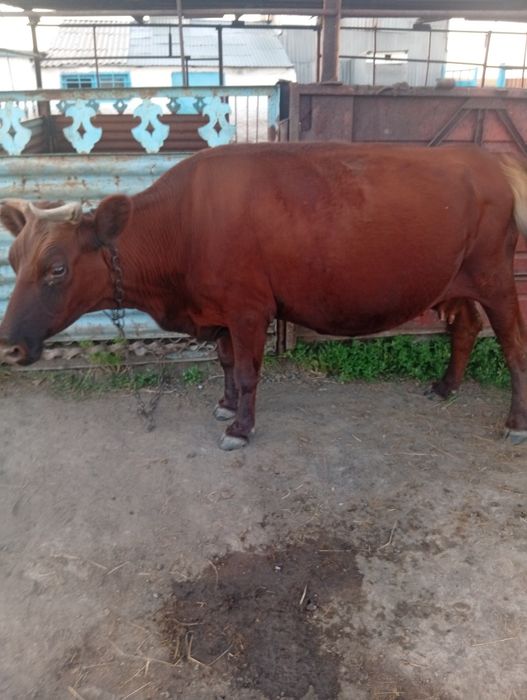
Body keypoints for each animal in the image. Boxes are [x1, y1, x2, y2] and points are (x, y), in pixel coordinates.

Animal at [1, 142, 526, 449]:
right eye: (12, 260)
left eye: (57, 268)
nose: (9, 346)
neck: (184, 224)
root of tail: (486, 159)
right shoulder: (218, 311)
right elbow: (227, 363)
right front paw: (226, 404)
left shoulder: (249, 309)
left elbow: (249, 371)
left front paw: (240, 427)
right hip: (457, 279)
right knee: (467, 326)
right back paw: (446, 386)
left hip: (496, 276)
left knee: (514, 346)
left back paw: (515, 422)